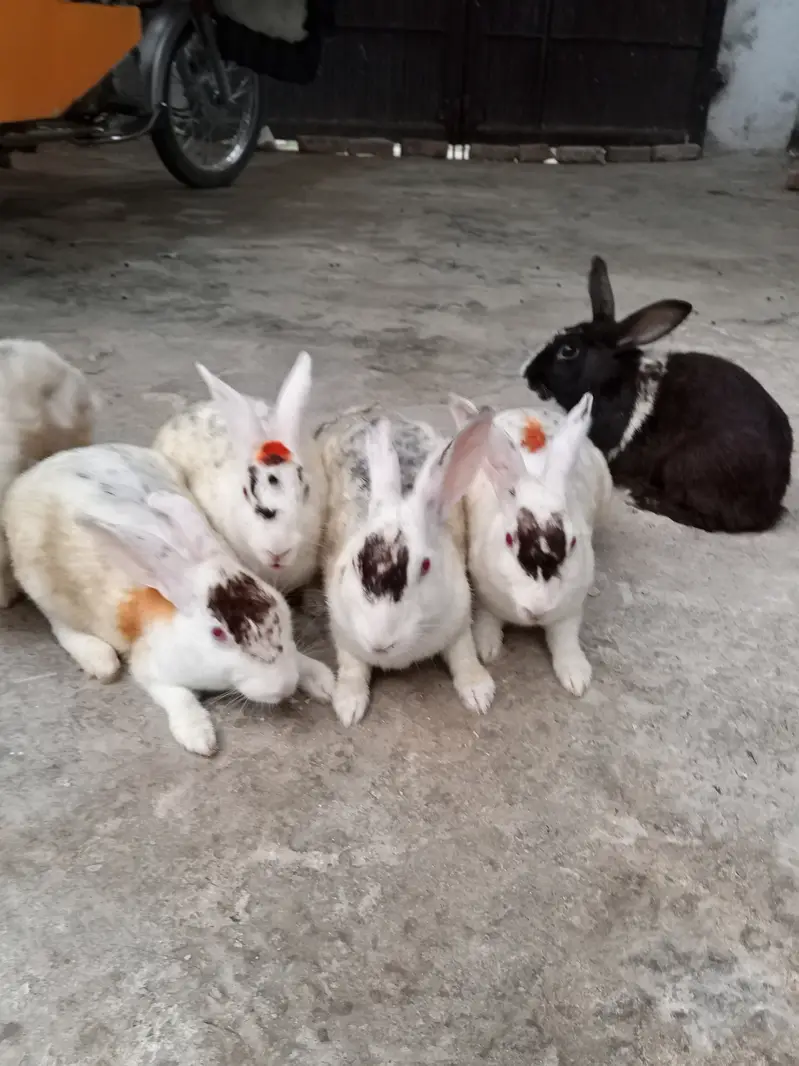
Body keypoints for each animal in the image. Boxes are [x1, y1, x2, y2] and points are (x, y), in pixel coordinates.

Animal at [3, 443, 335, 756]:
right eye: (217, 634)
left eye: (283, 612)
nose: (284, 686)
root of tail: (43, 467)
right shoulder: (152, 671)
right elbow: (180, 697)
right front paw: (199, 737)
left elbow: (300, 658)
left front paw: (324, 682)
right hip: (42, 584)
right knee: (60, 625)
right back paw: (99, 658)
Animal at [316, 405, 496, 727]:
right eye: (355, 563)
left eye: (425, 566)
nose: (380, 644)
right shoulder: (344, 633)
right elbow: (352, 668)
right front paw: (348, 707)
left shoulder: (459, 620)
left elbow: (464, 654)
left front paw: (479, 694)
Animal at [450, 393, 612, 697]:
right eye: (509, 539)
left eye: (573, 542)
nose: (537, 611)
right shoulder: (486, 596)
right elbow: (488, 621)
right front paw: (487, 649)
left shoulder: (569, 609)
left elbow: (565, 639)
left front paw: (576, 678)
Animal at [521, 256, 793, 533]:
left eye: (568, 351)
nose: (528, 374)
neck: (610, 381)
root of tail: (770, 506)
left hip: (688, 464)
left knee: (709, 519)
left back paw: (643, 498)